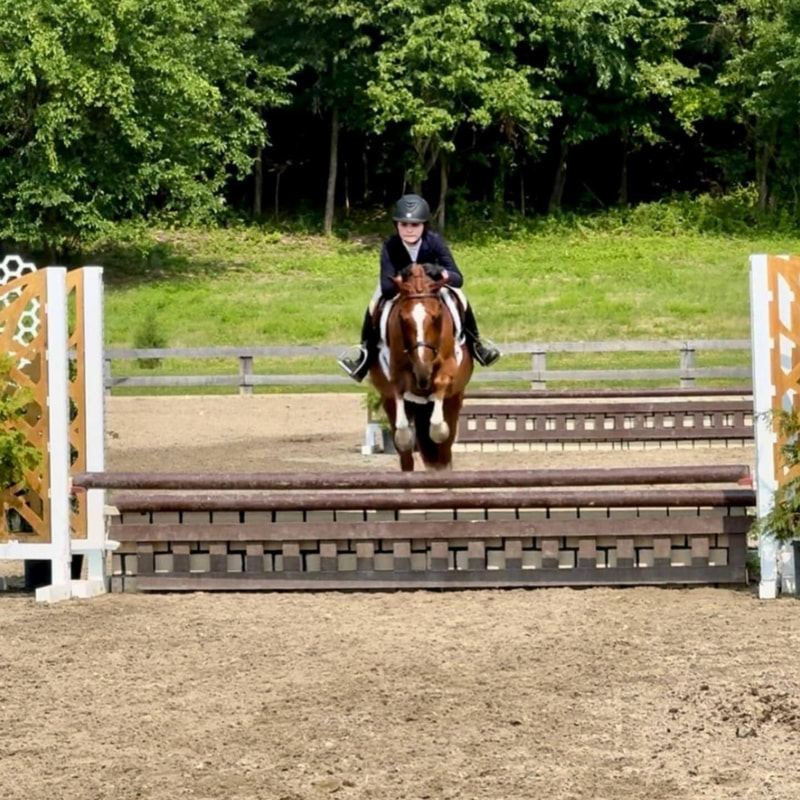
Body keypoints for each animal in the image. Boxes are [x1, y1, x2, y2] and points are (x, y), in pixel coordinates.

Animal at [369, 263, 474, 471]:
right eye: (402, 318)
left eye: (436, 316)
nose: (423, 372)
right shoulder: (394, 374)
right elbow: (402, 430)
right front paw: (405, 436)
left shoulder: (448, 369)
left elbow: (438, 427)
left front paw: (439, 430)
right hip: (392, 404)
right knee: (406, 457)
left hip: (454, 401)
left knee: (445, 451)